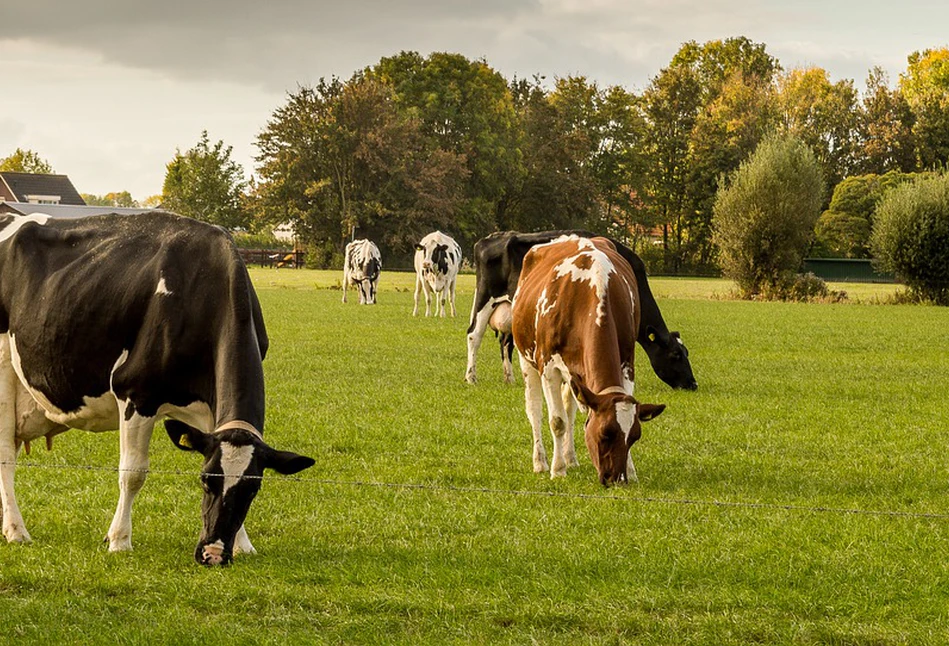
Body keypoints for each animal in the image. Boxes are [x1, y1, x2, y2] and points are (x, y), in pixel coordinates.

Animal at [0, 214, 318, 568]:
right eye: (205, 479)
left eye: (253, 490)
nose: (213, 554)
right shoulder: (136, 393)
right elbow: (133, 472)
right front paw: (119, 540)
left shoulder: (211, 411)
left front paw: (242, 544)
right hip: (3, 371)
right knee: (5, 456)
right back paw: (16, 530)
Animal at [464, 230, 696, 392]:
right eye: (675, 354)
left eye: (687, 352)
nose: (693, 384)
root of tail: (488, 239)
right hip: (485, 298)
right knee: (474, 335)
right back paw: (471, 377)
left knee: (506, 343)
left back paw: (510, 378)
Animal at [512, 237, 668, 486]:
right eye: (605, 433)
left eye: (634, 437)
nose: (617, 479)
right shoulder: (549, 367)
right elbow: (557, 421)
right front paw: (558, 470)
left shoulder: (627, 363)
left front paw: (631, 470)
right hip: (526, 358)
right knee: (534, 409)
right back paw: (541, 462)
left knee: (569, 407)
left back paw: (570, 457)